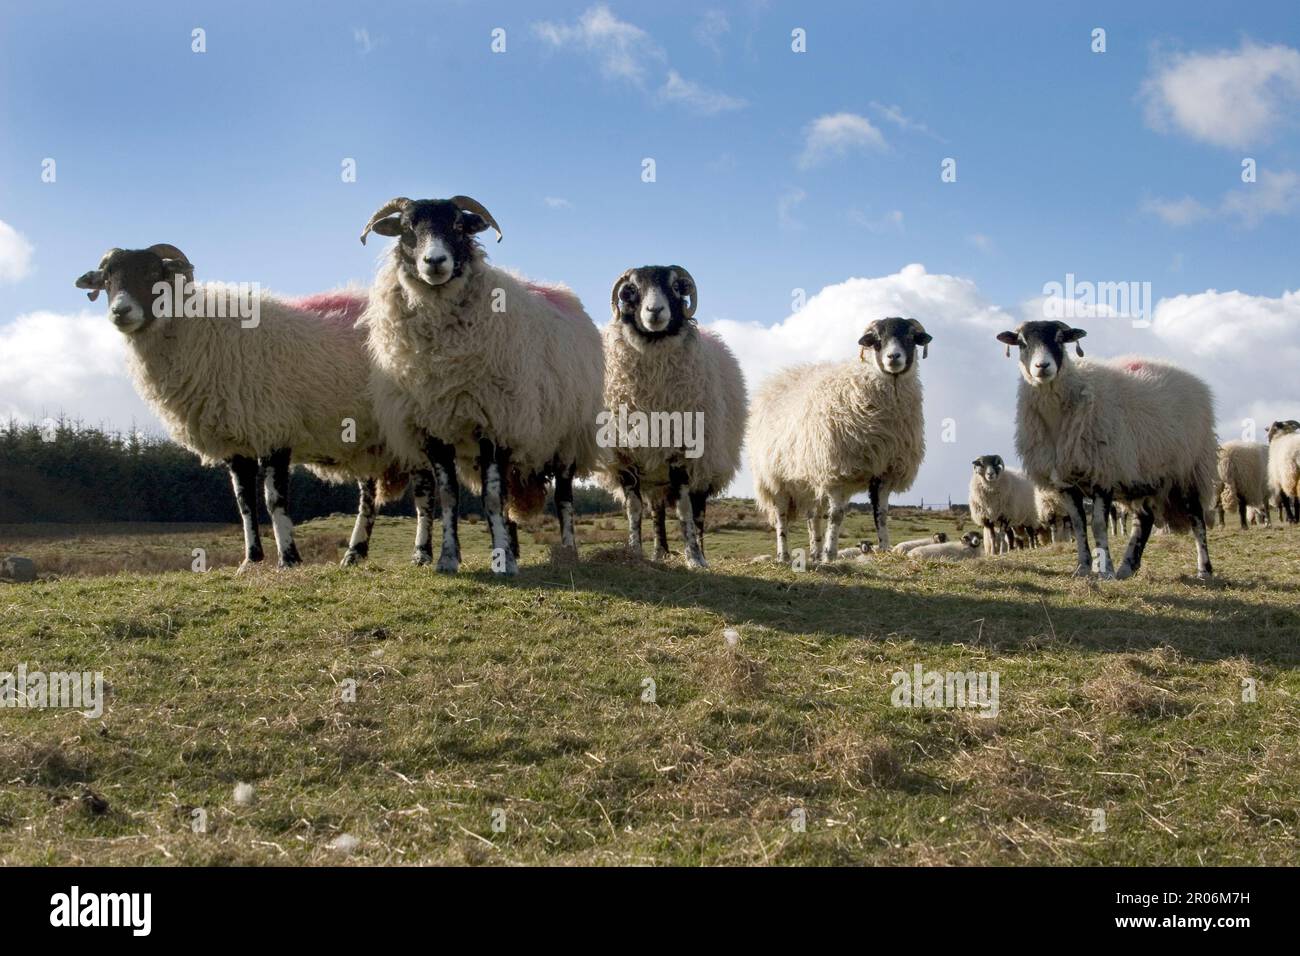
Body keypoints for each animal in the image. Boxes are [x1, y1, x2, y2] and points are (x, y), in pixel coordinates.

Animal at [74, 244, 400, 567]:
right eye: (107, 279)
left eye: (154, 273)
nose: (120, 311)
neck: (199, 332)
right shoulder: (235, 441)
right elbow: (245, 504)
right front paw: (251, 560)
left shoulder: (275, 430)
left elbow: (274, 501)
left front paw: (288, 560)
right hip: (368, 441)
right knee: (369, 492)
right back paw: (354, 554)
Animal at [356, 191, 598, 572]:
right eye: (407, 228)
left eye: (458, 225)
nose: (434, 261)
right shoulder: (434, 430)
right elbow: (449, 497)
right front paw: (447, 558)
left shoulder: (495, 422)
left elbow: (492, 497)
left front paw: (503, 562)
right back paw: (512, 546)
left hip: (568, 437)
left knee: (563, 498)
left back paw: (568, 551)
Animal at [595, 265, 748, 567]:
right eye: (631, 290)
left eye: (676, 287)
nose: (654, 310)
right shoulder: (626, 457)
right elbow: (634, 510)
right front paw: (635, 553)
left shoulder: (684, 454)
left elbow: (685, 510)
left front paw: (694, 558)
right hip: (656, 477)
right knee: (657, 513)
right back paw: (659, 553)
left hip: (706, 466)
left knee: (699, 511)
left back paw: (700, 552)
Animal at [748, 317, 930, 564]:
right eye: (877, 340)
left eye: (911, 337)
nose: (893, 357)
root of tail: (777, 379)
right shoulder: (837, 472)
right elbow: (836, 516)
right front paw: (830, 554)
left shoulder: (884, 471)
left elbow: (881, 514)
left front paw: (884, 549)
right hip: (775, 478)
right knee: (781, 517)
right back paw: (784, 555)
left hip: (809, 476)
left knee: (812, 516)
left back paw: (814, 552)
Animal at [993, 321, 1216, 580]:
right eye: (1022, 343)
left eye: (1059, 339)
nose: (1042, 366)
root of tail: (1193, 380)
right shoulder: (1066, 482)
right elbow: (1079, 525)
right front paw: (1082, 568)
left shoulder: (1104, 473)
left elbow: (1098, 525)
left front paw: (1104, 570)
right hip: (1144, 472)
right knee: (1144, 519)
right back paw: (1127, 567)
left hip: (1190, 468)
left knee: (1197, 519)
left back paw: (1204, 570)